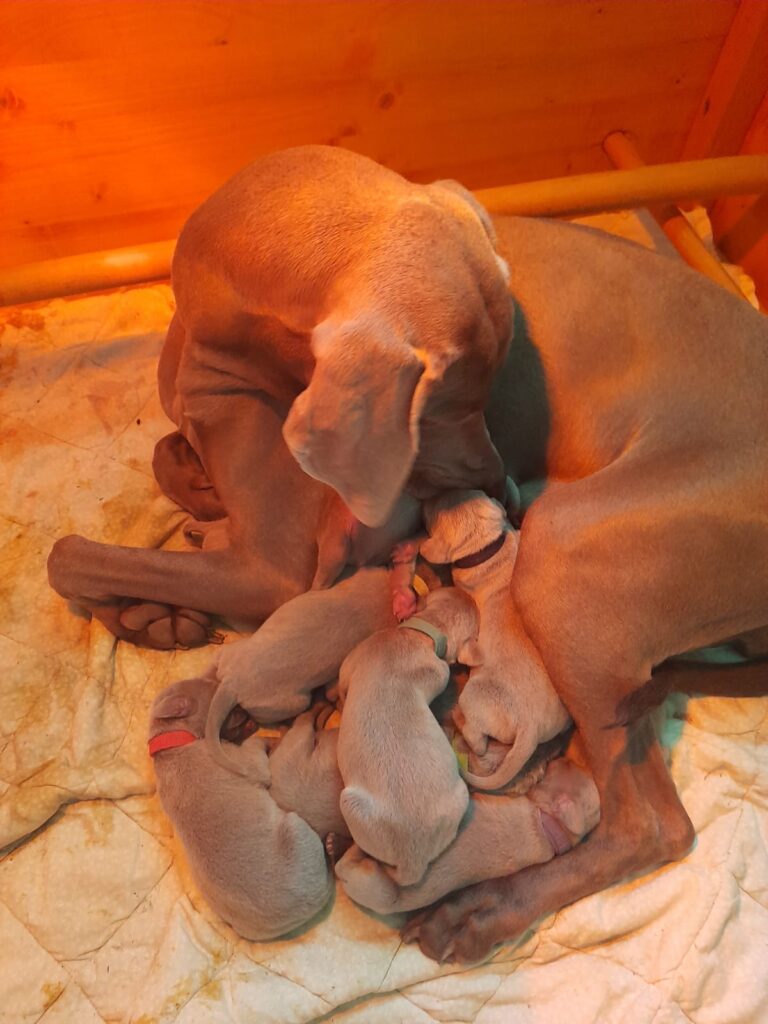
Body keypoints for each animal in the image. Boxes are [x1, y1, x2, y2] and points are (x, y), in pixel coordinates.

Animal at [148, 675, 331, 937]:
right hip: (296, 828)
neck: (174, 740)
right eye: (220, 704)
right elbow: (256, 749)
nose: (244, 711)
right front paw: (267, 737)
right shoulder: (248, 762)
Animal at [335, 757, 602, 917]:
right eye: (571, 766)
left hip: (373, 885)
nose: (564, 757)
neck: (550, 826)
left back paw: (344, 847)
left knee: (348, 863)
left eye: (564, 768)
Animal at [337, 589, 481, 884]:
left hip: (349, 803)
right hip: (460, 796)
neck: (423, 633)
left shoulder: (352, 662)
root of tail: (411, 862)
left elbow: (341, 688)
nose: (467, 592)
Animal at [421, 491, 573, 786]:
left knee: (477, 741)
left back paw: (458, 718)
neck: (489, 549)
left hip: (474, 695)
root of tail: (530, 729)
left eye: (434, 511)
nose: (424, 500)